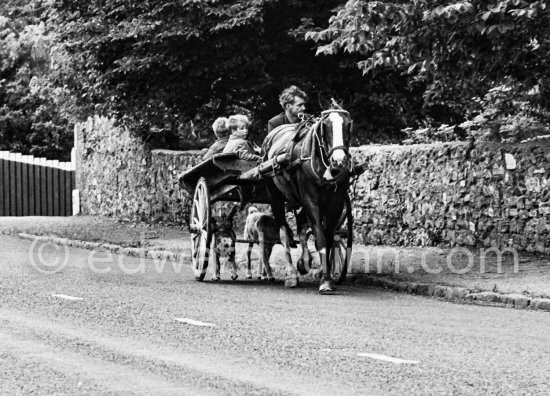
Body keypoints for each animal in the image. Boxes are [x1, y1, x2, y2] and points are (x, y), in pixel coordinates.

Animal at [262, 105, 354, 294]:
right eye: (325, 126)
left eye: (348, 125)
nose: (339, 160)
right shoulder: (311, 202)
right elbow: (320, 237)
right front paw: (325, 280)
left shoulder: (336, 203)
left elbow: (329, 238)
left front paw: (325, 274)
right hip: (275, 197)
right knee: (284, 233)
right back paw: (291, 275)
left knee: (302, 228)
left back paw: (304, 261)